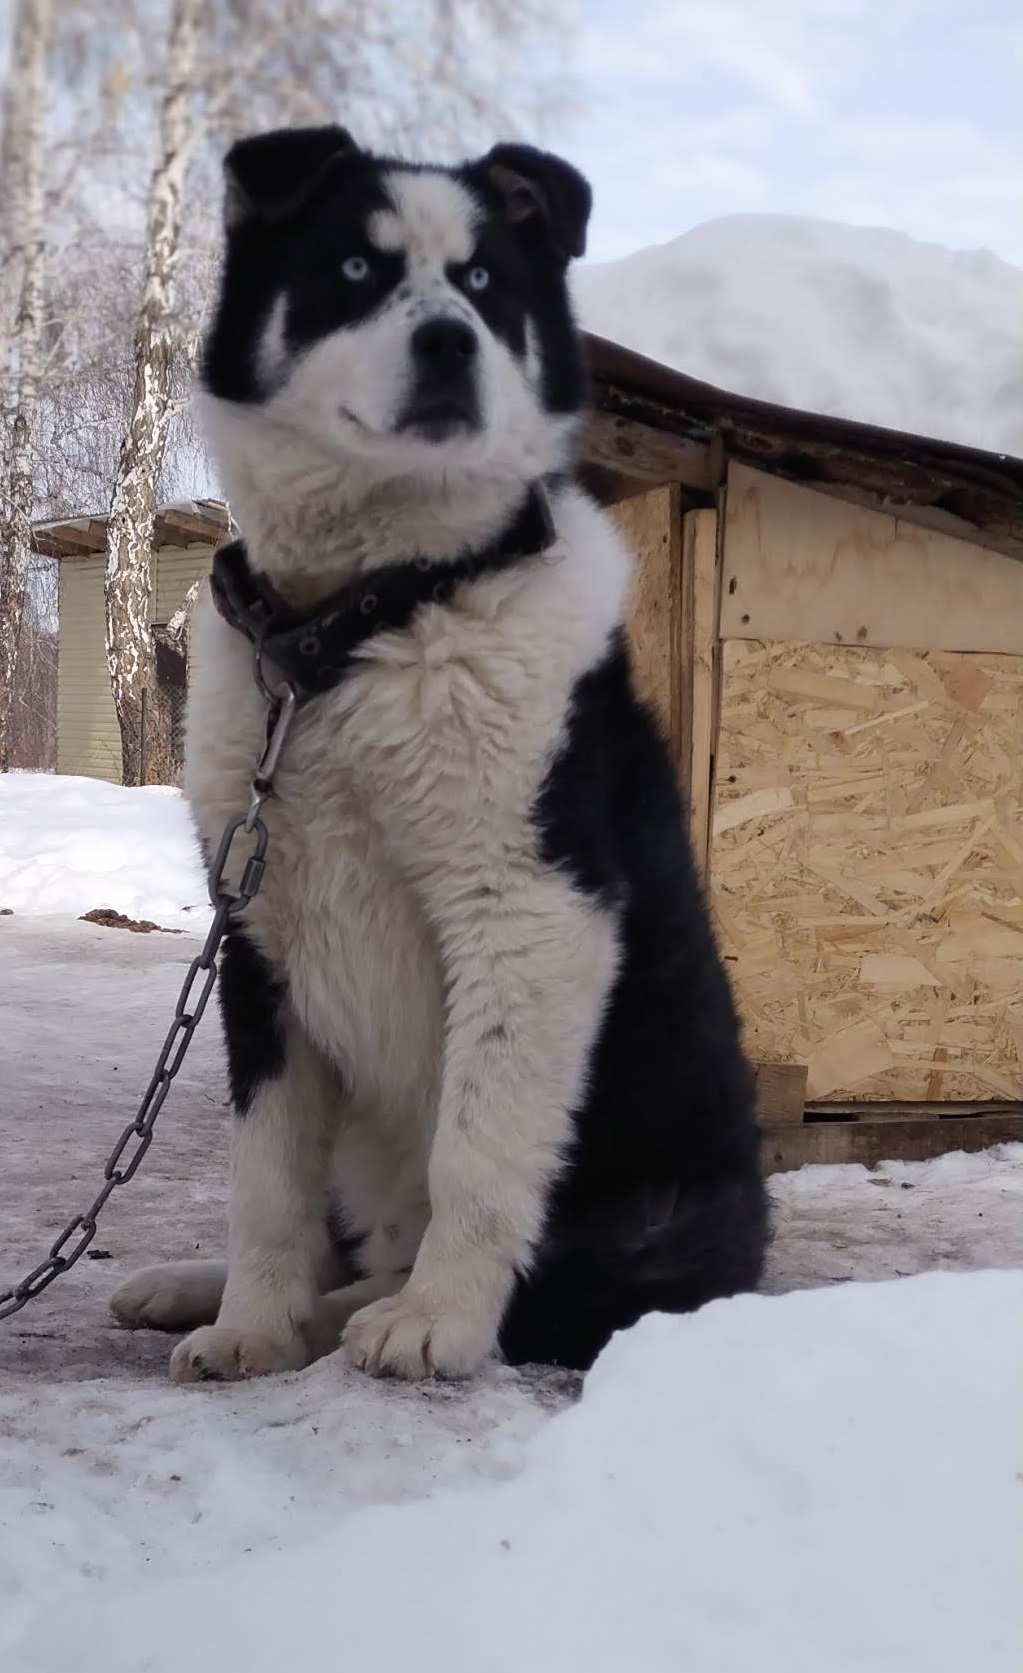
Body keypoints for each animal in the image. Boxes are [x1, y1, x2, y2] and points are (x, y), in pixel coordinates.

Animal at [112, 114, 770, 1371]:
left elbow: (478, 1141)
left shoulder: (530, 903)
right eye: (355, 268)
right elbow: (265, 1175)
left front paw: (438, 1317)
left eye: (482, 286)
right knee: (336, 1230)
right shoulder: (257, 931)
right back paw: (194, 1290)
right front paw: (250, 1324)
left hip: (648, 1214)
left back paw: (373, 1305)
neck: (357, 628)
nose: (448, 344)